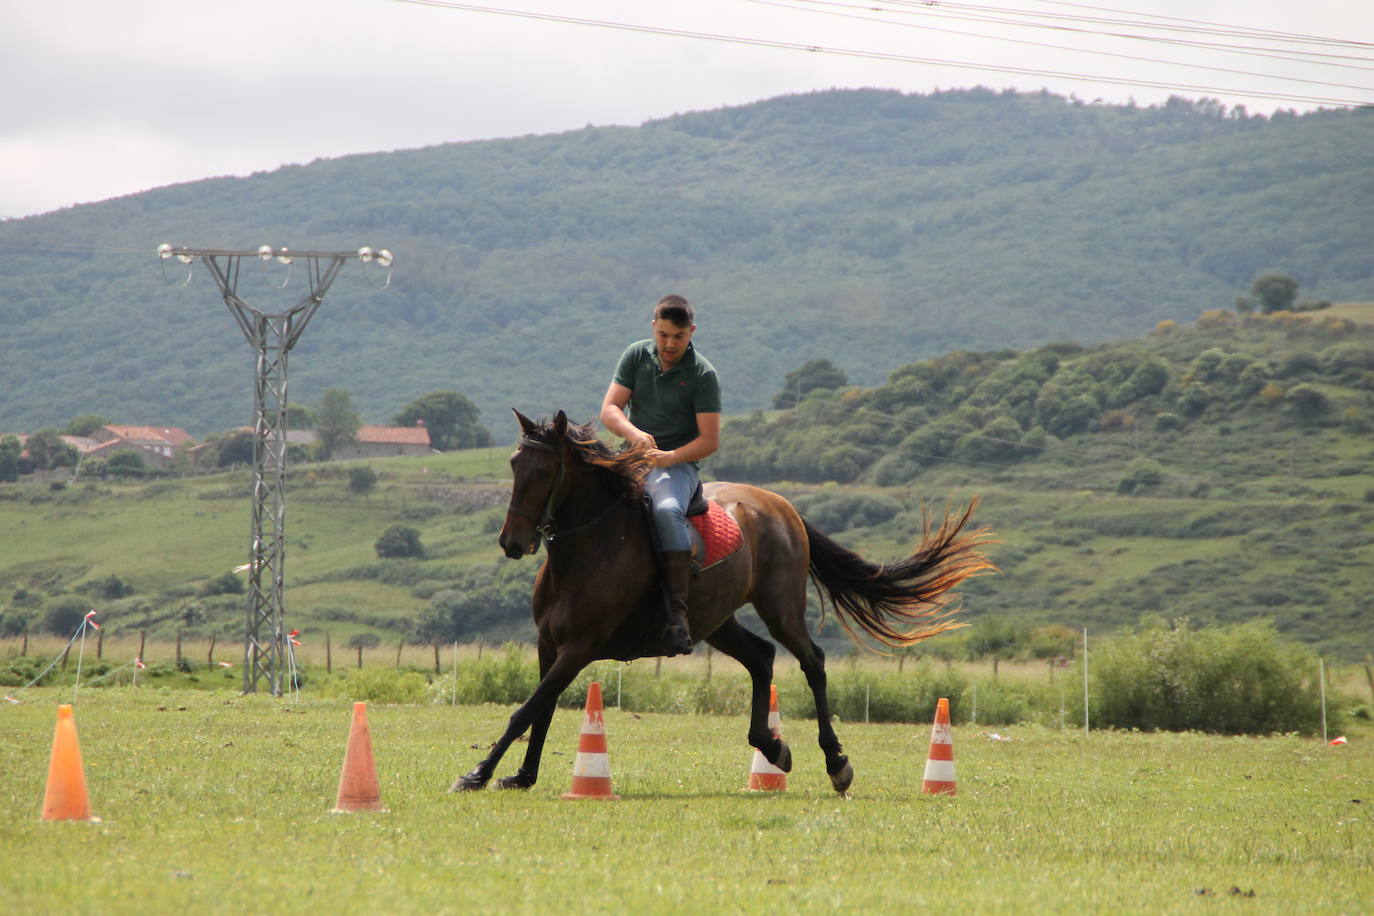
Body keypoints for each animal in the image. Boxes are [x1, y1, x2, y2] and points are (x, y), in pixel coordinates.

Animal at [456, 414, 994, 796]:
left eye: (546, 471)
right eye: (513, 465)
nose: (512, 542)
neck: (588, 547)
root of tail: (781, 504)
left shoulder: (579, 648)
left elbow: (525, 710)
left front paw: (477, 774)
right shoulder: (550, 646)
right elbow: (540, 710)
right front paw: (520, 775)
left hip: (780, 608)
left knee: (812, 662)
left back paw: (836, 763)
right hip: (715, 621)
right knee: (761, 657)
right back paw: (772, 746)